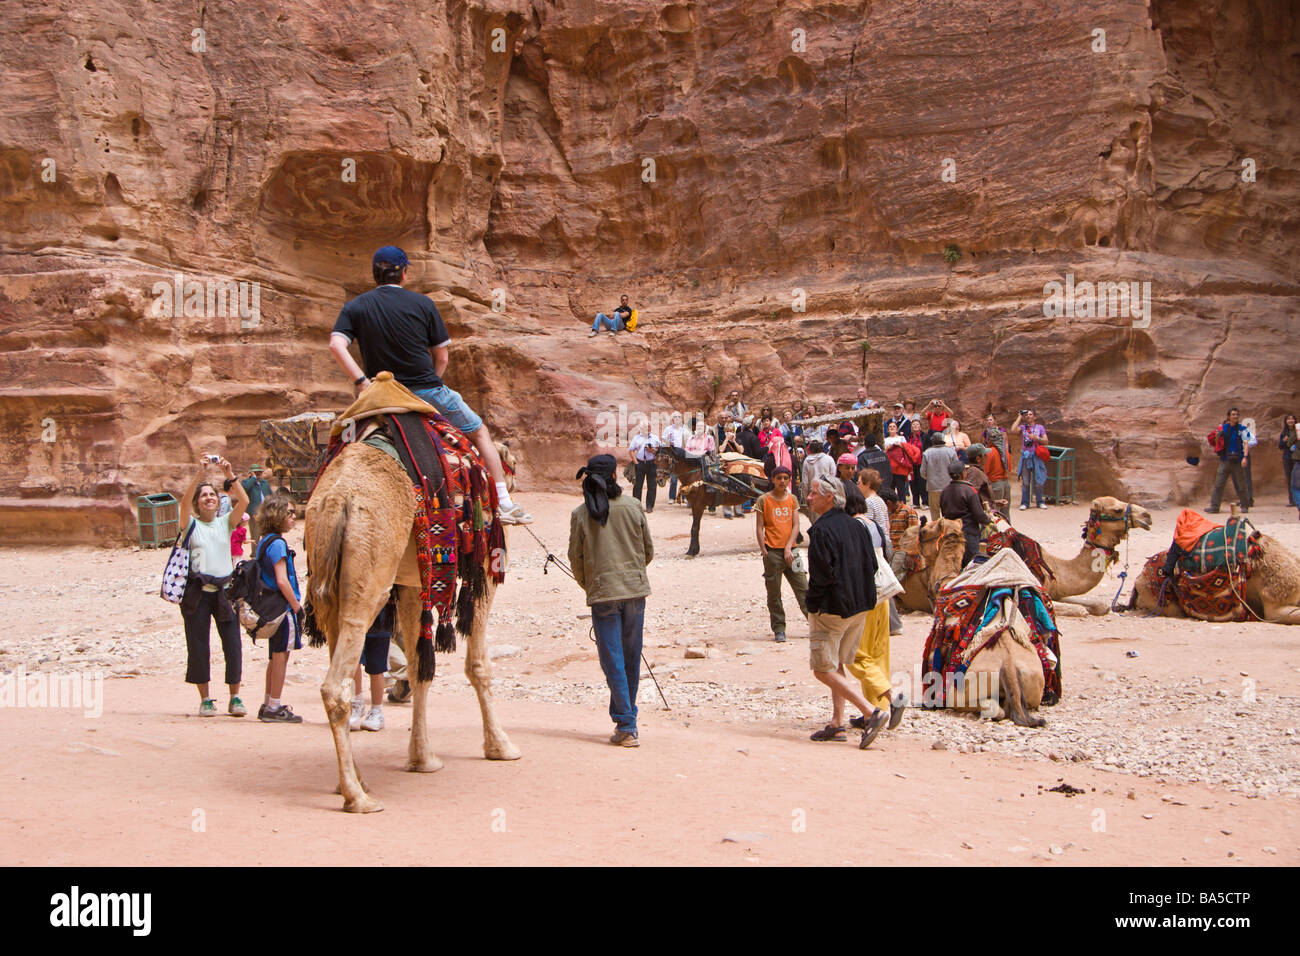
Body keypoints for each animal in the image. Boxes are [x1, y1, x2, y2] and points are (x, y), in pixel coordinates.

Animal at [306, 442, 520, 816]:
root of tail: (336, 500)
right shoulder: (485, 566)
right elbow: (479, 665)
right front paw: (500, 746)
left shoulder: (410, 584)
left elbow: (421, 667)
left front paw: (422, 758)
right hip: (371, 578)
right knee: (335, 686)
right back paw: (357, 798)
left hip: (329, 584)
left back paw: (353, 781)